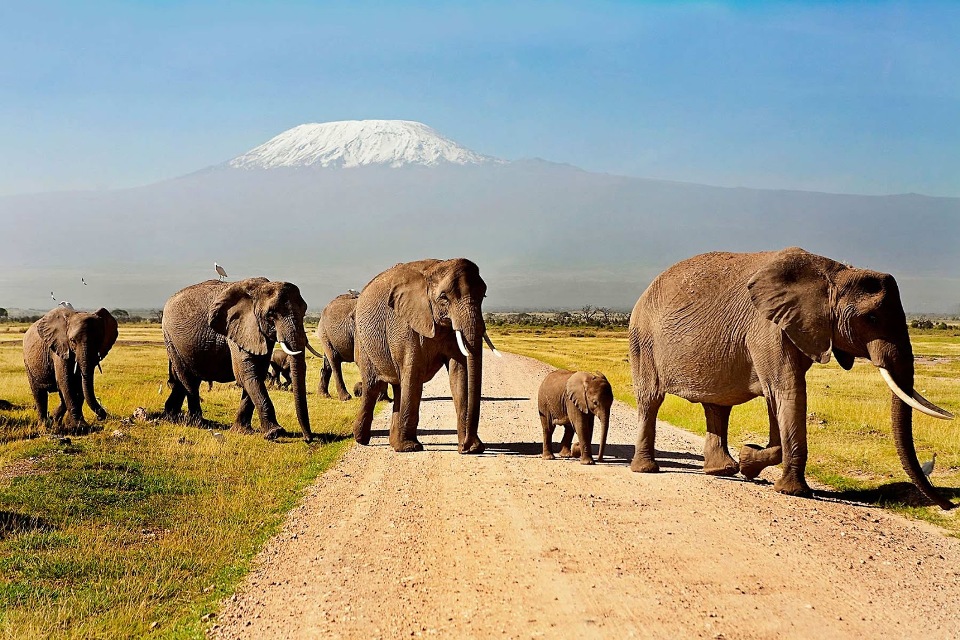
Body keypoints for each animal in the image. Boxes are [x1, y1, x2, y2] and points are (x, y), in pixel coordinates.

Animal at [22, 306, 119, 436]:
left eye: (98, 341)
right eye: (72, 341)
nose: (101, 416)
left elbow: (79, 384)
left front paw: (69, 423)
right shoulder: (59, 347)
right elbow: (66, 382)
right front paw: (81, 427)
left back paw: (54, 420)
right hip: (28, 362)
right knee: (39, 393)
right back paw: (45, 427)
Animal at [159, 278, 320, 442]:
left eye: (304, 311)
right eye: (271, 314)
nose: (308, 439)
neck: (259, 289)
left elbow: (257, 374)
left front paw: (242, 431)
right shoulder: (237, 329)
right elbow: (247, 375)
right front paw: (274, 433)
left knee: (185, 380)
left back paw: (171, 417)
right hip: (171, 339)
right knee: (188, 380)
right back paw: (198, 423)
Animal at [354, 258, 502, 452]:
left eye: (483, 296)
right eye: (444, 297)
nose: (465, 445)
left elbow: (459, 372)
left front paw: (473, 449)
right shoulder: (404, 324)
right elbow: (413, 371)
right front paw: (410, 448)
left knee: (399, 385)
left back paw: (394, 443)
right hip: (363, 342)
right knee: (372, 386)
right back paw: (361, 440)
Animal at [628, 248, 956, 508]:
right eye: (872, 318)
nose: (949, 506)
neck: (835, 273)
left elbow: (780, 398)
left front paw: (749, 461)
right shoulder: (767, 328)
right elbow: (787, 392)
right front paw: (790, 489)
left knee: (718, 407)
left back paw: (722, 471)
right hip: (643, 340)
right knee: (651, 400)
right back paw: (646, 470)